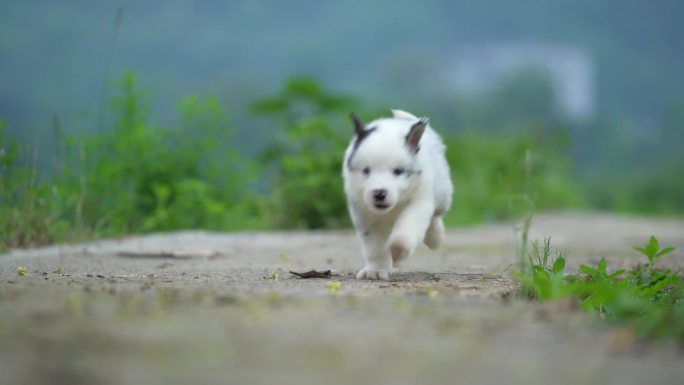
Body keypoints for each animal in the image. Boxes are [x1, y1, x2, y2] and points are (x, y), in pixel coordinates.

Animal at [342, 108, 454, 280]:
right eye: (366, 171)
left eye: (398, 171)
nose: (379, 193)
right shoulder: (363, 212)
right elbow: (375, 246)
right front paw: (375, 270)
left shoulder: (419, 201)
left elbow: (407, 229)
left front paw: (397, 250)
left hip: (442, 190)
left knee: (435, 216)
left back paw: (435, 237)